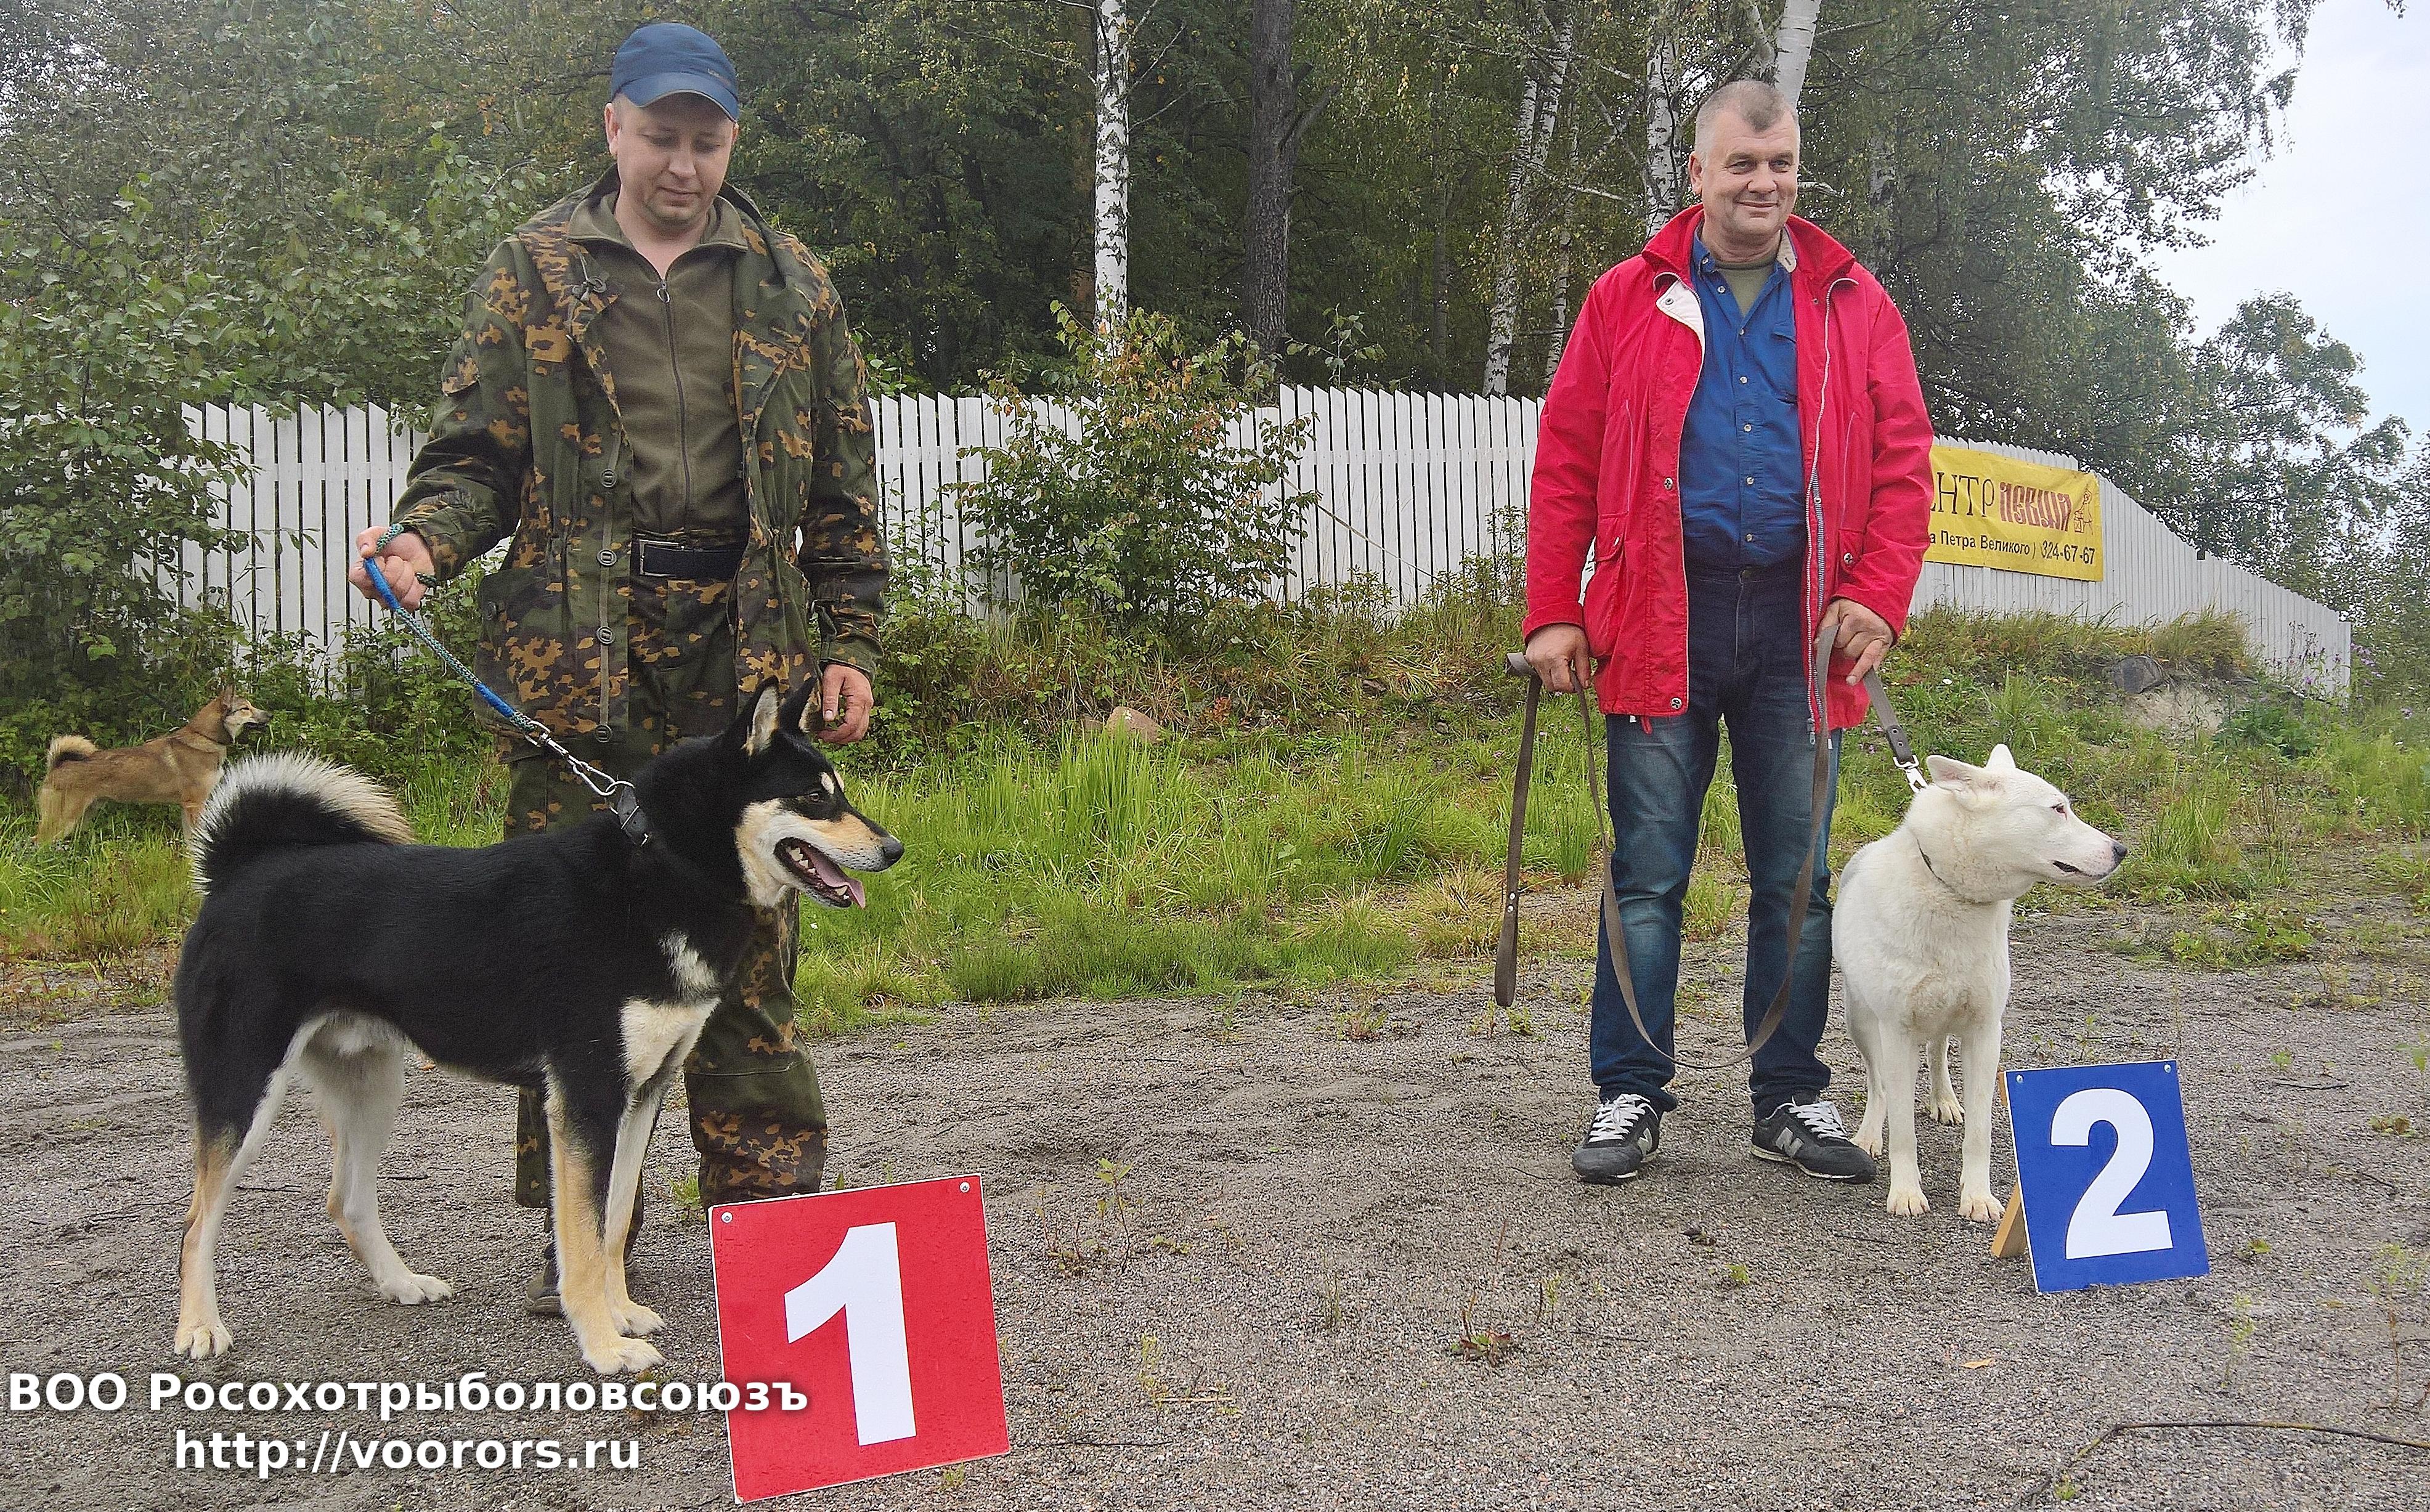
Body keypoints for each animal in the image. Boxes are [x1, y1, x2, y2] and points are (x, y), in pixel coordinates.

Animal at [35, 691, 269, 844]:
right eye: (245, 709)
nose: (270, 715)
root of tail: (57, 768)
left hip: (82, 817)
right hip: (63, 820)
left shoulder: (186, 806)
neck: (205, 738)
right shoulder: (196, 804)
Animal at [170, 682, 900, 1375]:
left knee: (345, 1200)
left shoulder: (644, 1093)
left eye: (835, 790)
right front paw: (603, 1345)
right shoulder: (585, 1097)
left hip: (372, 1086)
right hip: (244, 1091)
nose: (892, 848)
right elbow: (582, 1236)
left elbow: (611, 1222)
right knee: (196, 1222)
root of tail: (240, 870)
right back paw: (199, 1328)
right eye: (811, 797)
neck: (664, 865)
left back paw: (402, 1283)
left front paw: (622, 1313)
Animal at [1835, 744, 2125, 1220]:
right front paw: (1906, 1192)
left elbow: (1980, 1133)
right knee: (1878, 1086)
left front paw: (1977, 1197)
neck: (1951, 893)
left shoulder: (1985, 1032)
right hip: (1861, 1021)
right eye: (2057, 809)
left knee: (1937, 1053)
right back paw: (1869, 1135)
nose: (2121, 850)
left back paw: (1945, 1101)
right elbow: (1903, 1130)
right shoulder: (1896, 1032)